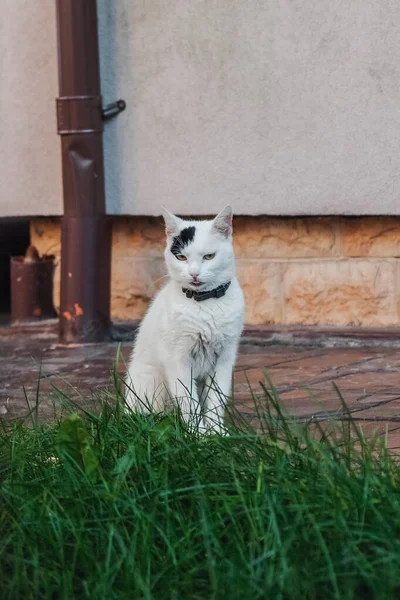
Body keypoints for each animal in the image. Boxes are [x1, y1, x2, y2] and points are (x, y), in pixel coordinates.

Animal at [125, 206, 244, 432]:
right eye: (181, 257)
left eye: (209, 256)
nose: (194, 273)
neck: (205, 304)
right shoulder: (178, 360)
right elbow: (188, 401)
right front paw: (197, 433)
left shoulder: (225, 358)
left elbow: (216, 398)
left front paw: (216, 431)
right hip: (151, 382)